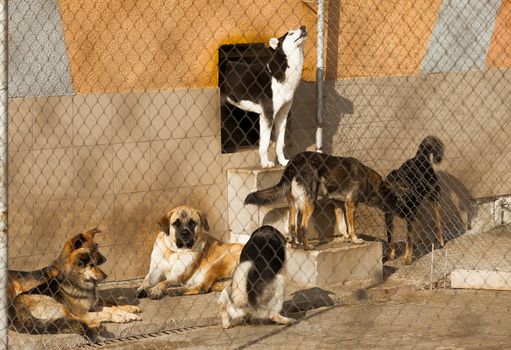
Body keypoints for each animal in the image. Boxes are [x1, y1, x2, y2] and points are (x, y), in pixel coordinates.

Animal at [244, 152, 384, 250]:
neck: (367, 177)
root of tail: (295, 161)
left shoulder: (338, 204)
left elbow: (343, 224)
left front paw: (345, 237)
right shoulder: (351, 204)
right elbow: (351, 226)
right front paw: (355, 240)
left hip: (294, 205)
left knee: (293, 226)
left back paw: (295, 245)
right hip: (311, 203)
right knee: (302, 227)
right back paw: (307, 247)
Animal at [384, 135, 444, 264]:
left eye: (404, 195)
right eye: (394, 196)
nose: (402, 206)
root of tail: (420, 156)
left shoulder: (410, 215)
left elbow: (408, 238)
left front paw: (407, 258)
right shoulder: (388, 216)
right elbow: (390, 237)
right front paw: (390, 255)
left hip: (433, 197)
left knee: (438, 219)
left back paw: (440, 240)